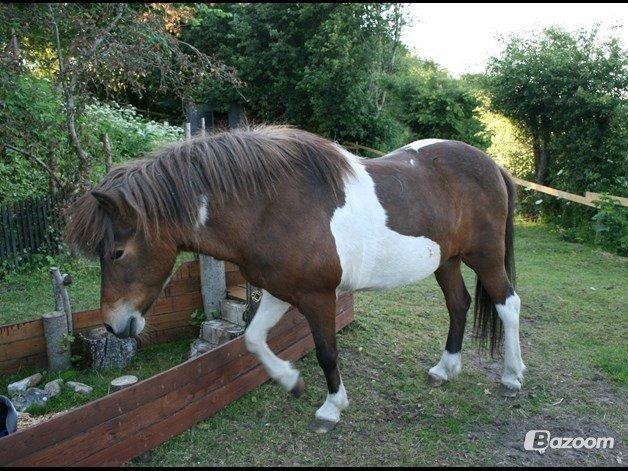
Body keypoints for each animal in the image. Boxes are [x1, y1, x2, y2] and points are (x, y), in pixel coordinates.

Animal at [65, 124, 524, 436]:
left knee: (508, 305)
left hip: (485, 257)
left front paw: (331, 406)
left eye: (117, 252)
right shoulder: (278, 291)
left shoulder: (318, 296)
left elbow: (326, 352)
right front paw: (290, 380)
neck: (272, 206)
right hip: (446, 261)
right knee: (459, 305)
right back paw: (445, 369)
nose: (114, 325)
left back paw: (512, 376)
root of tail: (493, 166)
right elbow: (253, 339)